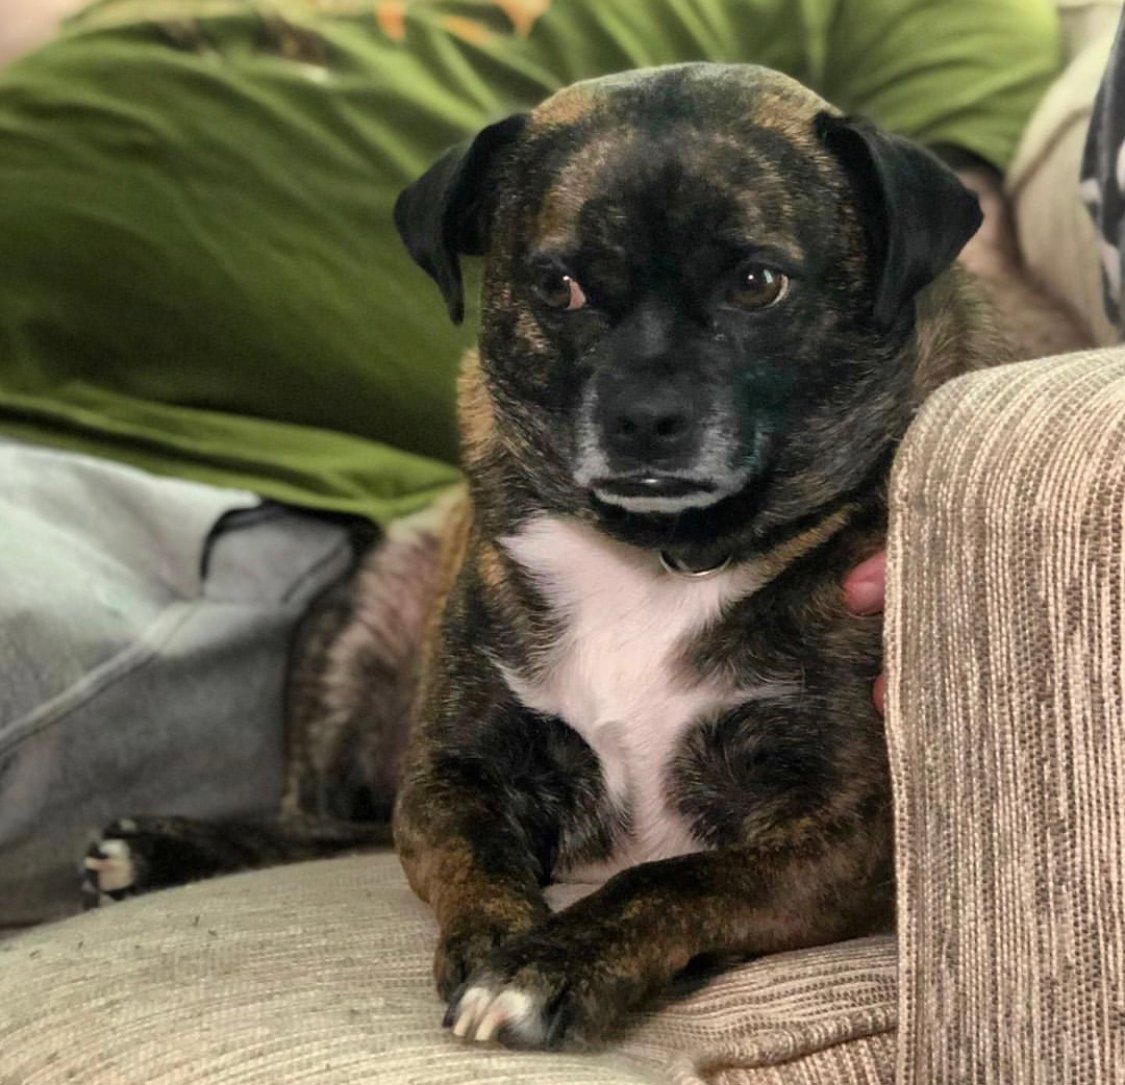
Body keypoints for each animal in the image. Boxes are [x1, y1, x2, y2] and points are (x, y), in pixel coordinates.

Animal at [90, 59, 1003, 1048]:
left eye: (758, 283)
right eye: (556, 285)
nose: (645, 419)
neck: (658, 556)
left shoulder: (846, 829)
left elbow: (674, 876)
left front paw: (551, 961)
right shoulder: (454, 773)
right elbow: (476, 858)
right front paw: (501, 940)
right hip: (360, 626)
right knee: (320, 822)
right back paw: (162, 845)